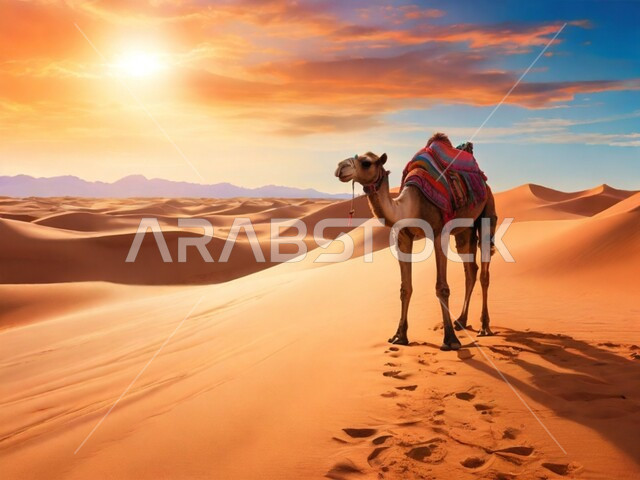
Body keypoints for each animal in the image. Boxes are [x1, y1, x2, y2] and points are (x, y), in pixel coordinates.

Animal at [334, 133, 497, 351]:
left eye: (366, 162)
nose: (340, 167)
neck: (412, 204)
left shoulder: (439, 232)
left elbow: (442, 288)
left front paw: (450, 340)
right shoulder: (403, 236)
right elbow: (405, 288)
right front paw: (399, 336)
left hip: (487, 209)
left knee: (484, 272)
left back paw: (484, 327)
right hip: (464, 230)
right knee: (470, 270)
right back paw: (461, 321)